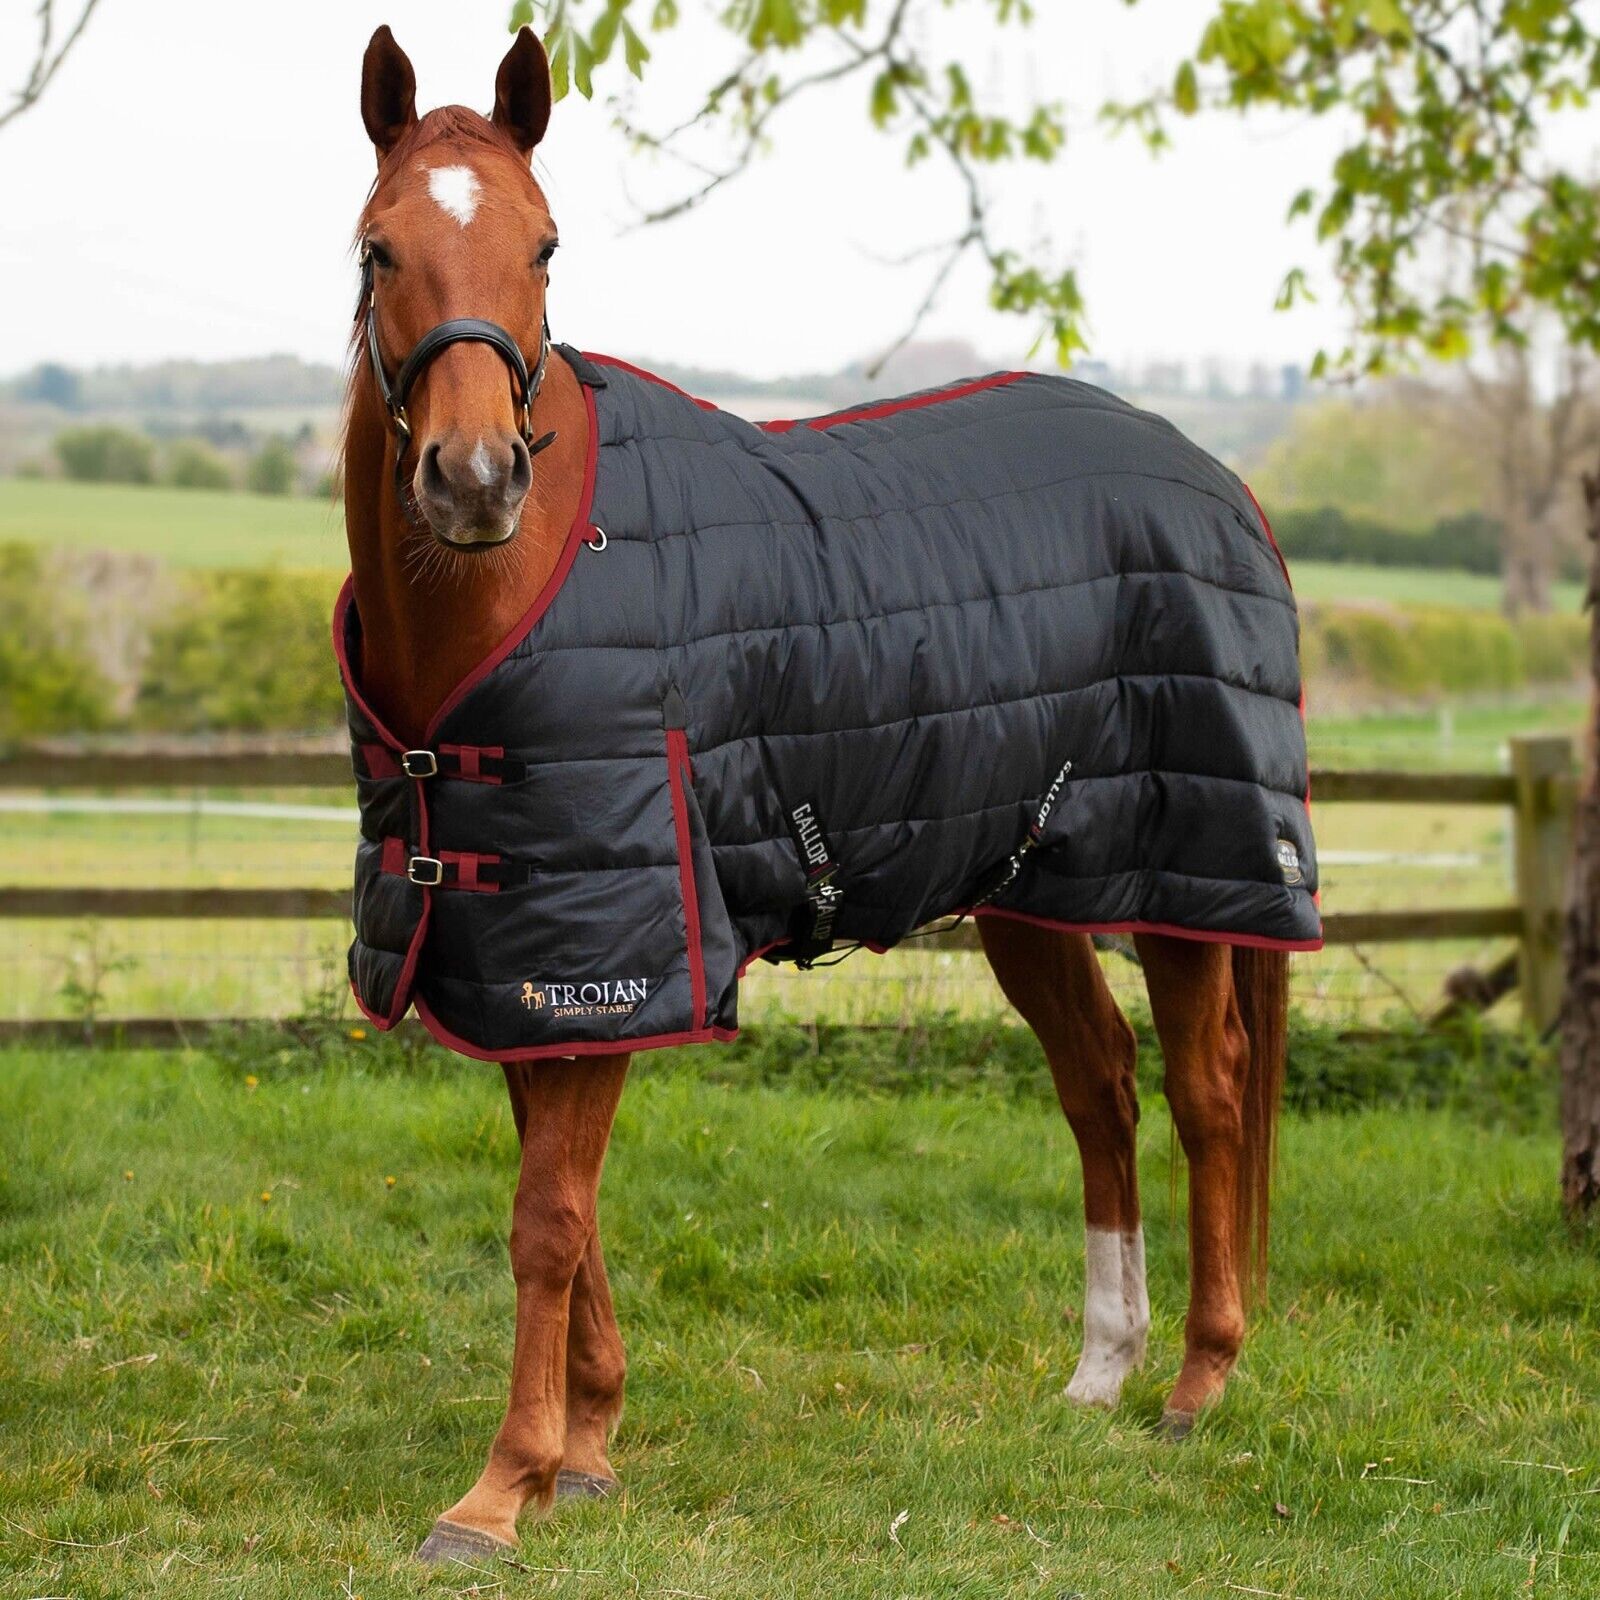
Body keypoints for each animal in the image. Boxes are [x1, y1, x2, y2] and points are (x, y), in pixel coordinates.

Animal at [341, 25, 1307, 1564]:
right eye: (380, 249)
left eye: (545, 246)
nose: (477, 478)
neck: (511, 597)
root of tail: (1218, 483)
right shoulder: (519, 946)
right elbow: (569, 1204)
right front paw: (586, 1447)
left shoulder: (625, 944)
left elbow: (547, 1218)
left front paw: (500, 1489)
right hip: (1030, 881)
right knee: (1098, 1085)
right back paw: (1101, 1371)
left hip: (1188, 873)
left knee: (1207, 1093)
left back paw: (1198, 1383)